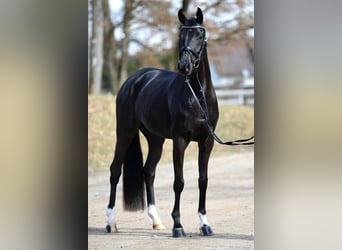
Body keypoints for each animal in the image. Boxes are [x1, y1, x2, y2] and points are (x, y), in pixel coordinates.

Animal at [105, 7, 218, 237]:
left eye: (199, 35)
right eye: (180, 35)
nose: (184, 66)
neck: (198, 97)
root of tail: (134, 80)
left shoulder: (207, 142)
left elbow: (203, 181)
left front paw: (204, 223)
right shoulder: (180, 141)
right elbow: (179, 182)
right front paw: (178, 225)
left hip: (155, 139)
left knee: (148, 171)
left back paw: (156, 221)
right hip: (125, 133)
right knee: (115, 171)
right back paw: (110, 222)